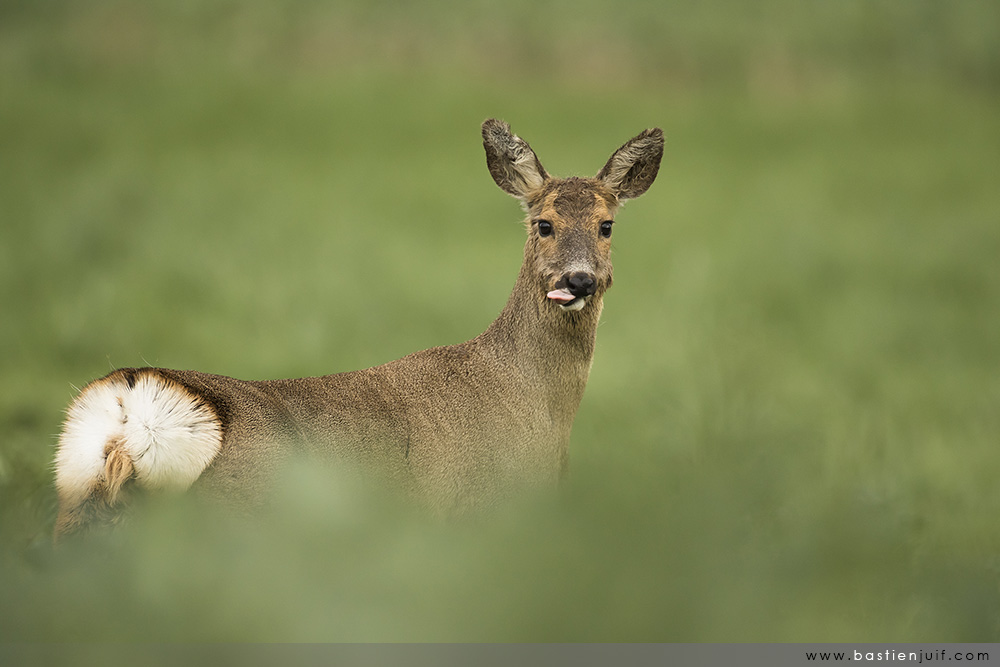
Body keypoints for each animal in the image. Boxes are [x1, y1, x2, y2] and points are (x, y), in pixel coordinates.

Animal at [54, 118, 664, 536]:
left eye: (606, 225)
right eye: (543, 223)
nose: (578, 280)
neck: (538, 406)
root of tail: (128, 420)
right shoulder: (481, 510)